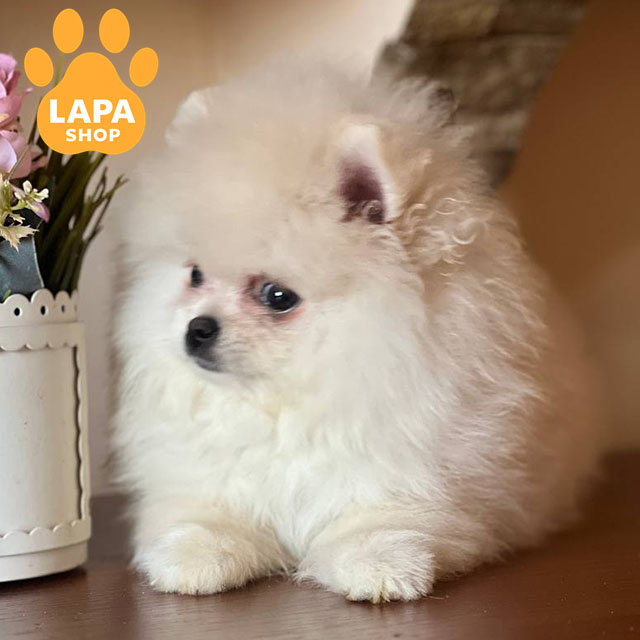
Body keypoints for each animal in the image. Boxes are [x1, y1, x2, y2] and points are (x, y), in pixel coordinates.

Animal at [113, 60, 600, 601]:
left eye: (277, 297)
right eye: (195, 275)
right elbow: (207, 509)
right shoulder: (205, 472)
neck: (292, 403)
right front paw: (196, 552)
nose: (197, 328)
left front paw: (377, 560)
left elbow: (383, 514)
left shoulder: (419, 470)